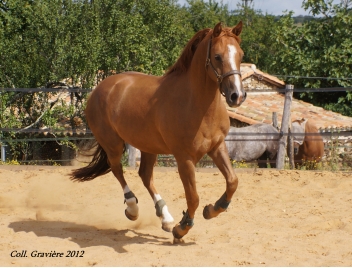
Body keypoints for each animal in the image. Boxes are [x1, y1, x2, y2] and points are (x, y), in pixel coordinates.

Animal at [70, 22, 246, 240]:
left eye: (241, 55)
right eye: (217, 56)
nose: (237, 96)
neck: (196, 104)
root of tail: (99, 89)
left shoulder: (217, 147)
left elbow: (232, 181)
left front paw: (212, 209)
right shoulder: (184, 158)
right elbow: (193, 197)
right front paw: (182, 228)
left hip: (148, 146)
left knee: (145, 175)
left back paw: (166, 218)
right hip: (113, 143)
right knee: (117, 169)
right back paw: (133, 209)